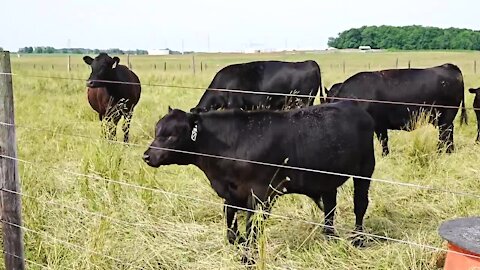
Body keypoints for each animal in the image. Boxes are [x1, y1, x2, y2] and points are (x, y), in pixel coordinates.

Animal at [142, 101, 376, 262]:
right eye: (157, 131)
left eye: (172, 135)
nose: (147, 156)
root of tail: (355, 107)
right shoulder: (232, 193)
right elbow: (231, 223)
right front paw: (238, 243)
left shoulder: (261, 194)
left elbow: (252, 227)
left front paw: (248, 258)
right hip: (326, 178)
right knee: (330, 206)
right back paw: (329, 236)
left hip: (365, 171)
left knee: (360, 205)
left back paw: (358, 239)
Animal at [324, 63, 466, 155]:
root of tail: (449, 66)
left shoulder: (379, 124)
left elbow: (383, 140)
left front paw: (385, 155)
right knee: (448, 133)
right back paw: (449, 151)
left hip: (446, 116)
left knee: (445, 133)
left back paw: (441, 152)